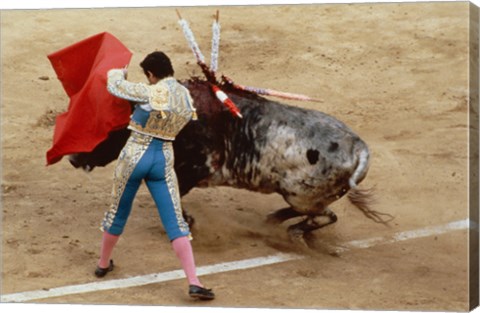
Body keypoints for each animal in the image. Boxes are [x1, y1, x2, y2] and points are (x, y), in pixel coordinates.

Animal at [69, 77, 388, 245]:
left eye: (105, 127)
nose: (72, 157)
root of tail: (359, 147)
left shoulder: (195, 168)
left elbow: (174, 195)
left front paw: (186, 221)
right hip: (304, 196)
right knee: (317, 214)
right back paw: (274, 219)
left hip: (302, 195)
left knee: (324, 216)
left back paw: (290, 230)